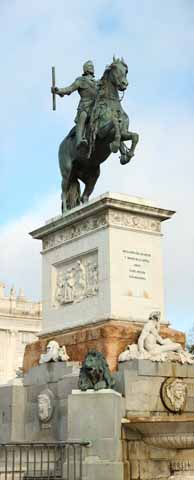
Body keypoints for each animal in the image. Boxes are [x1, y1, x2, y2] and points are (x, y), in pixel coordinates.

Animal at [58, 57, 139, 211]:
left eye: (125, 70)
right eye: (115, 69)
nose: (124, 84)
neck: (111, 105)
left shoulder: (125, 132)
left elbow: (134, 136)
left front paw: (127, 155)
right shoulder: (101, 134)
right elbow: (115, 126)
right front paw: (115, 145)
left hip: (92, 174)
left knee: (84, 196)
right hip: (67, 172)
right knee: (64, 191)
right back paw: (65, 211)